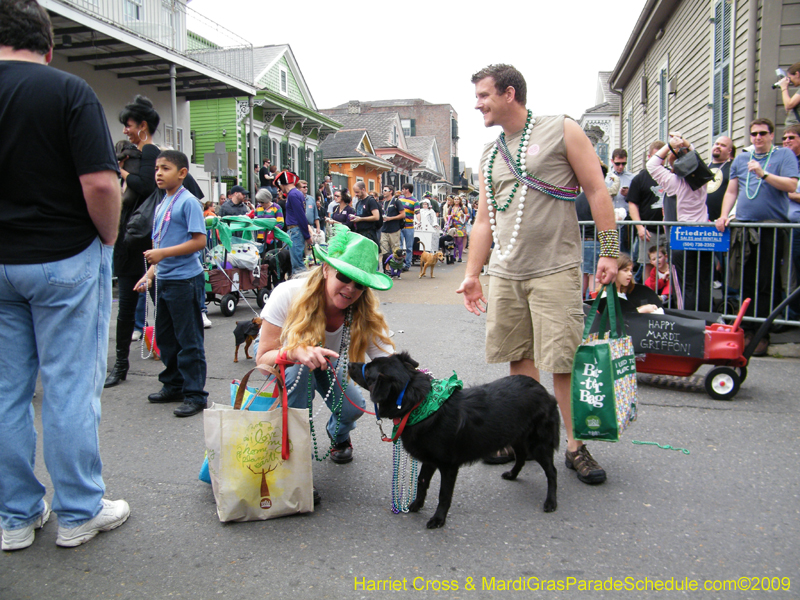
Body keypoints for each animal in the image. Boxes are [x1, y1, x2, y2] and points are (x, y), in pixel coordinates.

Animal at [350, 352, 564, 528]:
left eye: (368, 370)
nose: (350, 363)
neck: (418, 405)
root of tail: (544, 391)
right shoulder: (430, 460)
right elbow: (422, 482)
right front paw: (416, 505)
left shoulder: (448, 466)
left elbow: (444, 494)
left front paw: (438, 519)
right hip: (516, 437)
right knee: (520, 457)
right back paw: (512, 474)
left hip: (538, 444)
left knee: (552, 472)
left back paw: (551, 502)